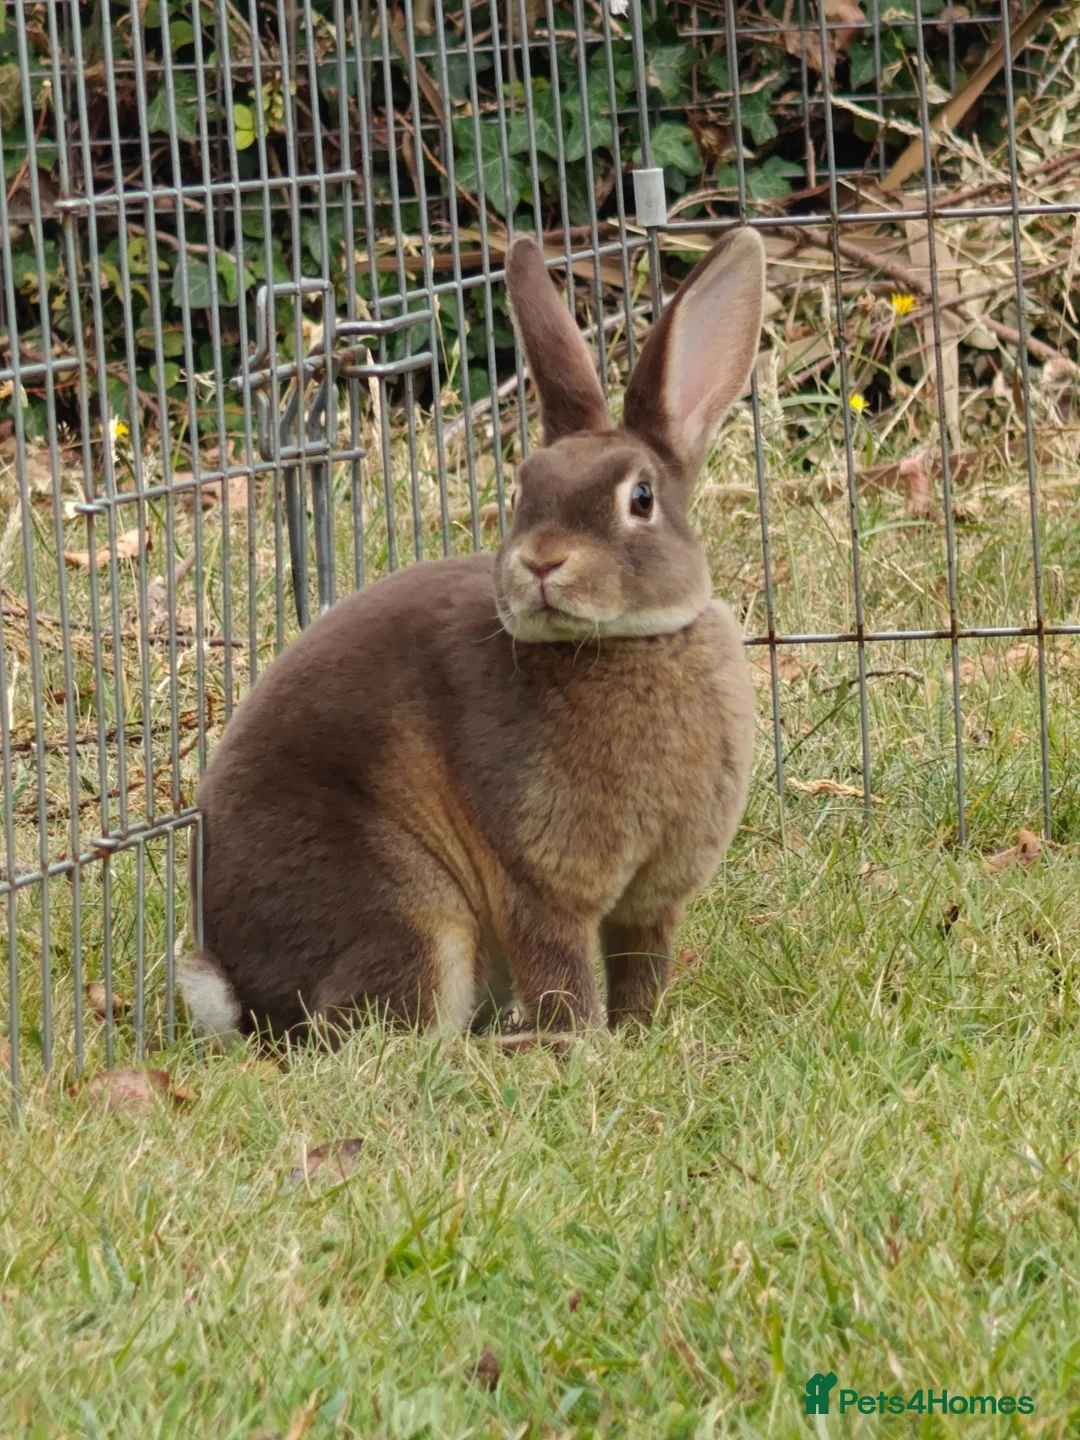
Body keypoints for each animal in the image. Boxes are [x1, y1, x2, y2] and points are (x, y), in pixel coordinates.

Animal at [180, 226, 765, 1047]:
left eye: (642, 498)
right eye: (522, 492)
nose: (542, 562)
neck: (629, 643)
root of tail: (242, 996)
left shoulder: (651, 902)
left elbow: (640, 968)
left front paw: (640, 1035)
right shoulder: (534, 878)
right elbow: (559, 964)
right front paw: (582, 1045)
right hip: (415, 914)